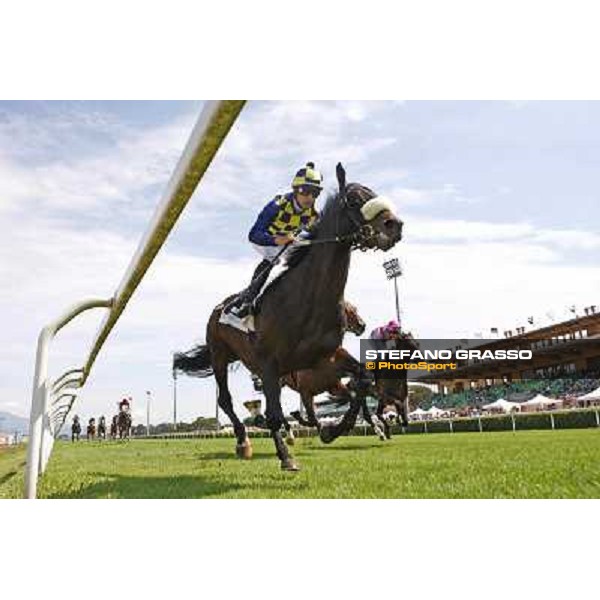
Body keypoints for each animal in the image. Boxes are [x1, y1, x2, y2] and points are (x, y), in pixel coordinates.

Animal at [172, 163, 404, 468]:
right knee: (226, 400)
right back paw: (243, 441)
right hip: (220, 355)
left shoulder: (325, 357)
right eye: (354, 199)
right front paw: (286, 457)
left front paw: (332, 430)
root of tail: (218, 308)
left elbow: (361, 383)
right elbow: (274, 414)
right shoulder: (269, 362)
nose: (395, 225)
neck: (308, 301)